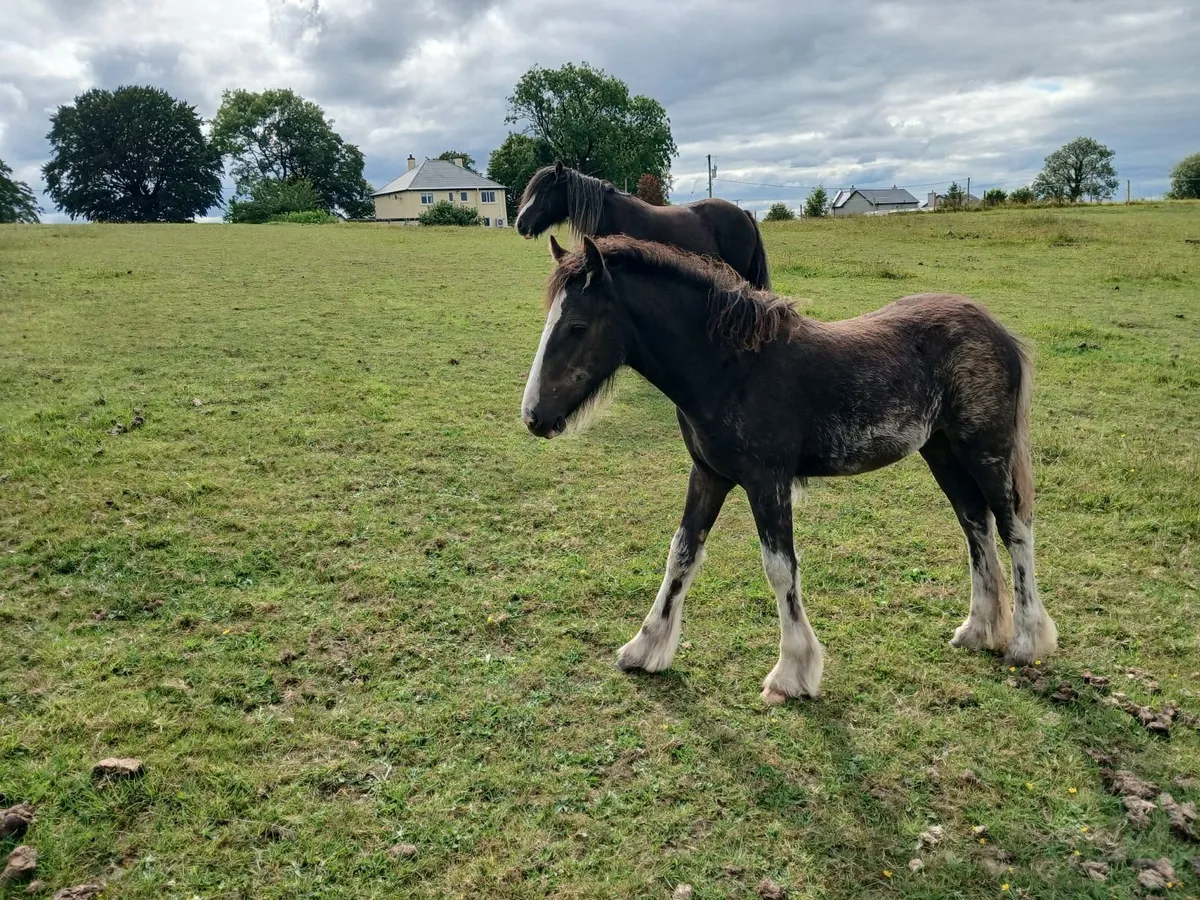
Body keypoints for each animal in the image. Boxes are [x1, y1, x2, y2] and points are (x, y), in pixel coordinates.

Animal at [520, 234, 1058, 704]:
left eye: (577, 327)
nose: (533, 417)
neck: (731, 369)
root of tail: (999, 331)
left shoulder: (767, 481)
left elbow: (780, 568)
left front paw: (792, 674)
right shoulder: (709, 475)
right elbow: (681, 554)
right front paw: (645, 648)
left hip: (986, 451)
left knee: (1013, 527)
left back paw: (1026, 640)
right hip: (943, 452)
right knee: (974, 524)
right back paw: (979, 629)